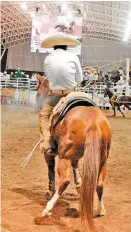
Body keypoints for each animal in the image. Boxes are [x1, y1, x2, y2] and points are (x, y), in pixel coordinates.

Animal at [35, 75, 111, 231]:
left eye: (38, 91)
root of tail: (93, 122)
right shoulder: (76, 156)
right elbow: (77, 169)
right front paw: (80, 186)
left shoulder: (50, 153)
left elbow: (50, 172)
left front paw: (49, 192)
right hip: (102, 159)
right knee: (100, 184)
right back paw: (100, 210)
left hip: (64, 156)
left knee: (64, 180)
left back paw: (47, 209)